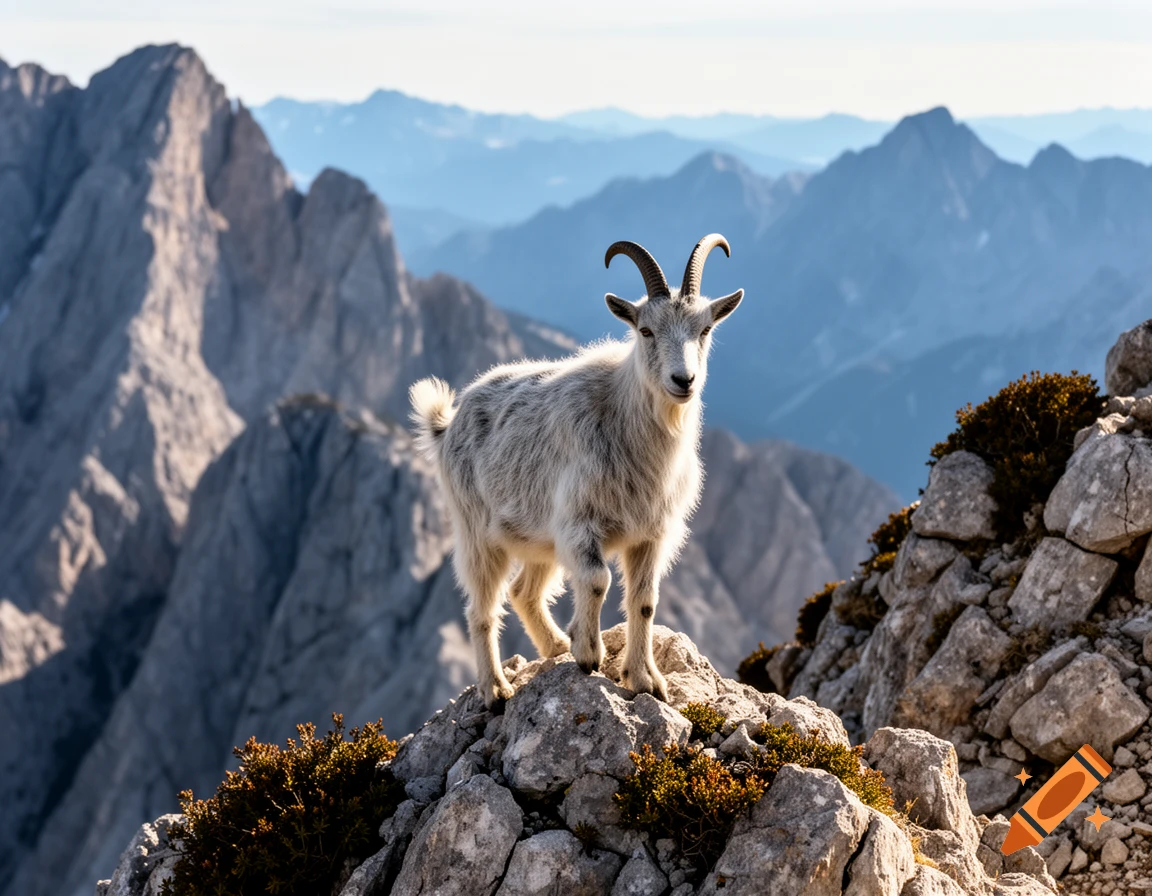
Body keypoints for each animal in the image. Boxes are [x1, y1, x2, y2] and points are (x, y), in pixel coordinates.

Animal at [409, 234, 743, 709]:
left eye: (705, 330)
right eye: (645, 330)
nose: (684, 381)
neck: (627, 422)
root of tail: (447, 423)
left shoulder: (650, 534)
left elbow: (645, 600)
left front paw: (645, 680)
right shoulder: (579, 524)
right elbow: (599, 580)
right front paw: (589, 654)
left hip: (535, 537)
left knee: (524, 592)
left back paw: (554, 647)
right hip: (477, 532)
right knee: (482, 608)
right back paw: (496, 689)